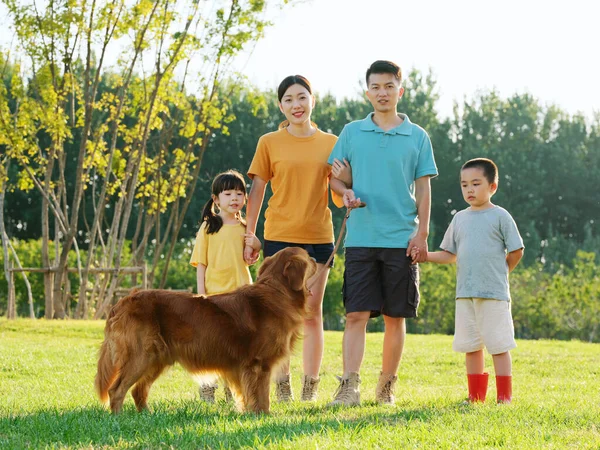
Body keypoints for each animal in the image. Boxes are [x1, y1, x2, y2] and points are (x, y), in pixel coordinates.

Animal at [95, 248, 314, 414]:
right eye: (309, 257)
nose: (316, 260)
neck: (277, 291)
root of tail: (122, 302)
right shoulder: (259, 364)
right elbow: (261, 396)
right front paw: (263, 415)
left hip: (156, 359)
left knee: (138, 391)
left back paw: (147, 416)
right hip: (141, 356)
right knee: (117, 390)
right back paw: (119, 418)